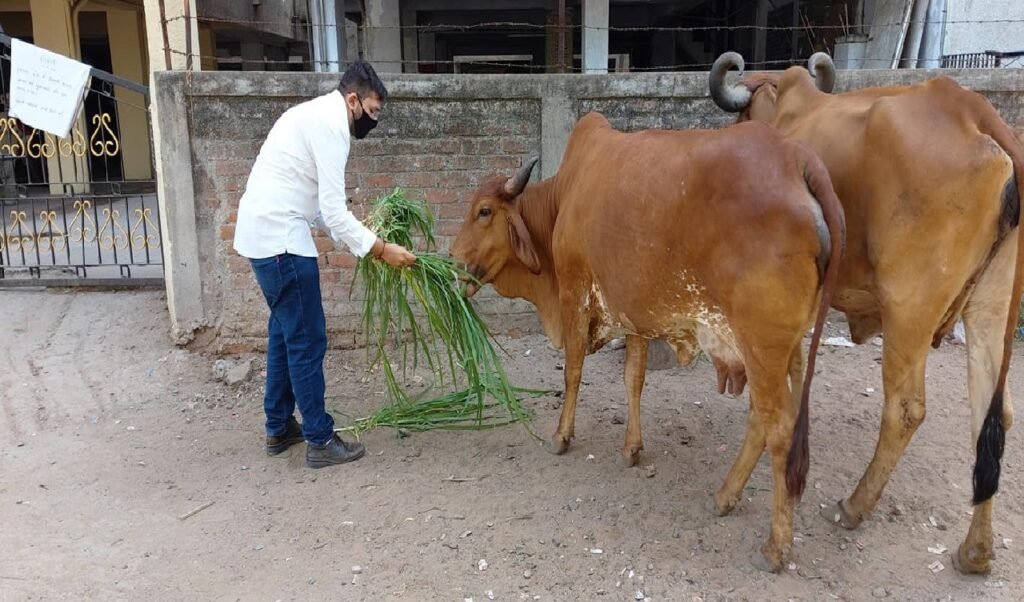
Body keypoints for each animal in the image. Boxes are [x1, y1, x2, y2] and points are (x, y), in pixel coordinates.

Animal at [452, 112, 843, 569]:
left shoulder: (574, 295)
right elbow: (633, 379)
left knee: (778, 428)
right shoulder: (633, 314)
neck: (563, 198)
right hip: (784, 349)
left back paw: (776, 545)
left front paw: (562, 436)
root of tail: (797, 160)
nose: (452, 259)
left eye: (483, 211)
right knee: (762, 421)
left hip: (762, 347)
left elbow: (573, 372)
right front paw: (632, 448)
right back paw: (725, 496)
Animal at [712, 51, 1024, 573]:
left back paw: (855, 505)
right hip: (991, 305)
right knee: (992, 414)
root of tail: (977, 114)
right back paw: (976, 551)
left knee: (905, 410)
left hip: (909, 308)